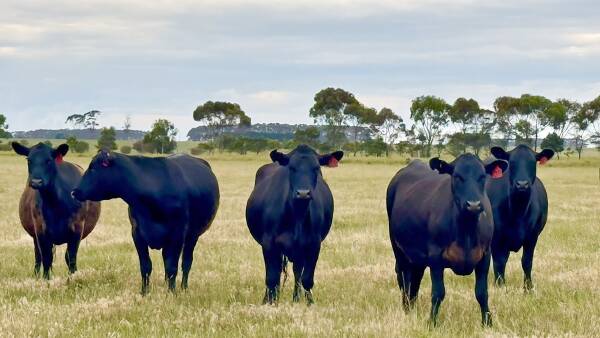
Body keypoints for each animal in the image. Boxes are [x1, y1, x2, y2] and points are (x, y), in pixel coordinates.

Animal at [12, 141, 101, 278]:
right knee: (38, 256)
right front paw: (46, 279)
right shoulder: (40, 230)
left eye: (49, 160)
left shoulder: (77, 228)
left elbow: (70, 257)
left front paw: (72, 277)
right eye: (29, 160)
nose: (36, 182)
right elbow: (46, 258)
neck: (55, 204)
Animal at [71, 151, 219, 294]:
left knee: (186, 262)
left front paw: (171, 293)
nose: (74, 192)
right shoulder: (137, 233)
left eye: (93, 168)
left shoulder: (177, 234)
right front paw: (144, 292)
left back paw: (184, 288)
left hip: (192, 236)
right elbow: (146, 265)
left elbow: (172, 267)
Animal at [245, 144, 342, 304]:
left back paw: (296, 298)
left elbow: (307, 279)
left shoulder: (313, 245)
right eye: (291, 167)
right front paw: (270, 302)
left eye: (316, 168)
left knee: (297, 273)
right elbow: (271, 278)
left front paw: (309, 303)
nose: (303, 193)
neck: (297, 215)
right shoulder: (269, 244)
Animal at [386, 154, 508, 326]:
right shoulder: (435, 257)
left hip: (417, 257)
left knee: (414, 279)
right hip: (398, 248)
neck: (466, 231)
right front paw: (432, 322)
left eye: (482, 176)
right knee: (403, 277)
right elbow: (438, 293)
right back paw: (407, 309)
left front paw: (487, 322)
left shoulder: (485, 255)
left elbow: (482, 292)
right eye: (457, 176)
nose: (473, 205)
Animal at [488, 145, 552, 290]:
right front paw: (500, 286)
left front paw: (528, 287)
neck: (518, 211)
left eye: (533, 162)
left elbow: (527, 262)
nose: (522, 184)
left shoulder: (532, 237)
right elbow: (499, 262)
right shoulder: (497, 238)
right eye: (512, 163)